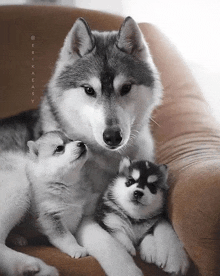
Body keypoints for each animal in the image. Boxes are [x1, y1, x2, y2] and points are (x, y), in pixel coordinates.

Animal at [0, 17, 189, 276]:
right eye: (89, 90)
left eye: (126, 88)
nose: (112, 136)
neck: (110, 158)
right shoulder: (85, 216)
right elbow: (109, 244)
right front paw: (126, 268)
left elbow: (161, 218)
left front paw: (173, 250)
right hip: (18, 179)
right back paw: (31, 266)